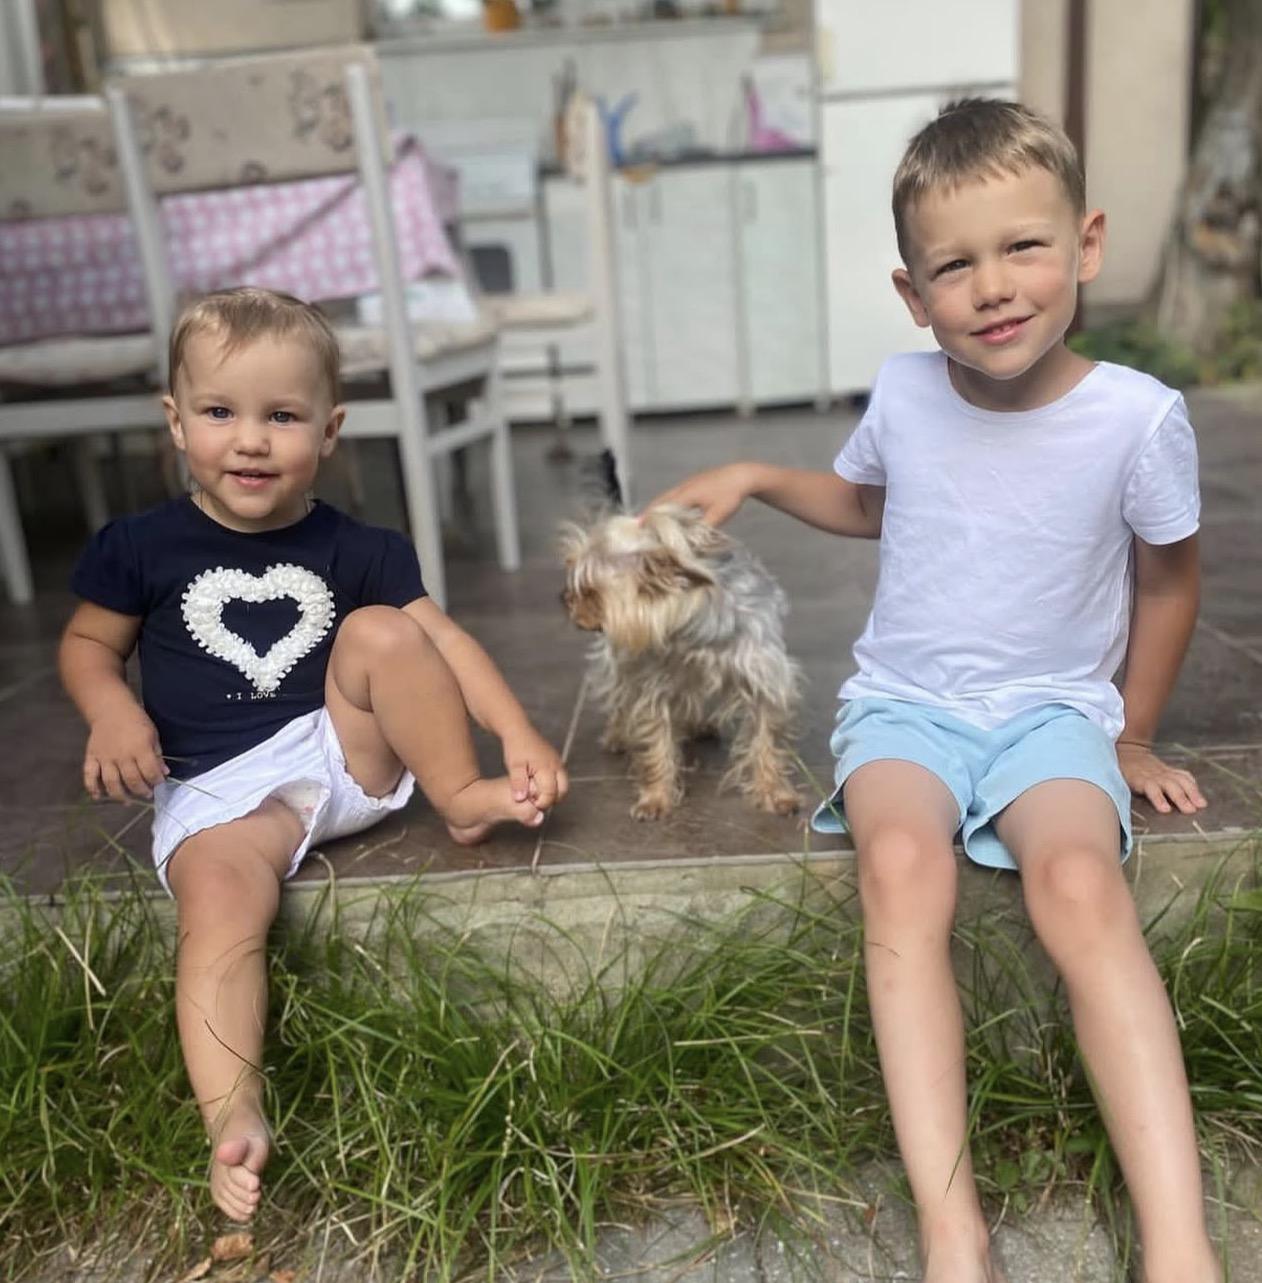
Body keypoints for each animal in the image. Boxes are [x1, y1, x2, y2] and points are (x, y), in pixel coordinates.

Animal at [560, 504, 802, 820]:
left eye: (589, 591)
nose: (564, 598)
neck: (693, 631)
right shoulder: (654, 682)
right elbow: (657, 740)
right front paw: (655, 798)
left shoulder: (764, 677)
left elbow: (766, 738)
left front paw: (774, 793)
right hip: (622, 658)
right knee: (621, 691)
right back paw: (618, 734)